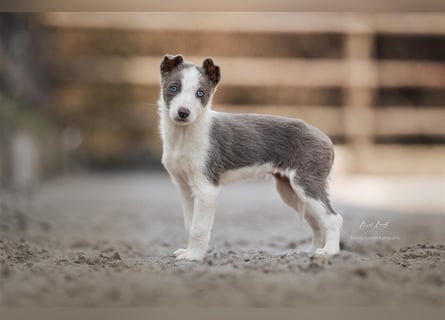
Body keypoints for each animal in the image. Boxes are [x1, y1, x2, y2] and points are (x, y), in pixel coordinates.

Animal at [158, 53, 342, 262]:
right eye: (174, 88)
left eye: (200, 93)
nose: (183, 112)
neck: (183, 136)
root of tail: (326, 139)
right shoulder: (185, 188)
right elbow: (190, 225)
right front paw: (188, 252)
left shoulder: (206, 188)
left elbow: (199, 228)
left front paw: (194, 257)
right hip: (291, 191)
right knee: (318, 223)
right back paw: (310, 252)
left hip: (306, 183)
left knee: (333, 218)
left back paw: (329, 252)